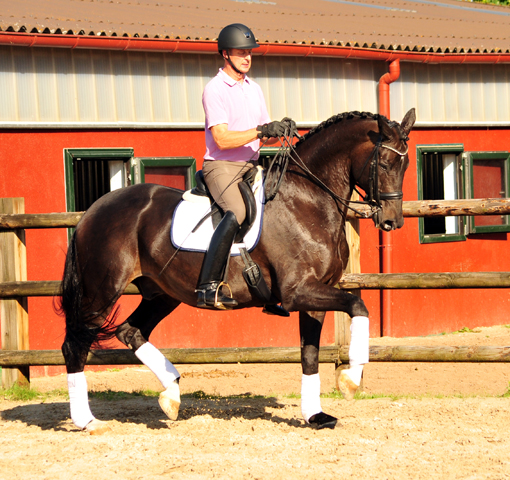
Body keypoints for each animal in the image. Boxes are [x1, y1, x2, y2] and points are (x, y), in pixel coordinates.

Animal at [59, 110, 416, 434]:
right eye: (385, 163)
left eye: (406, 164)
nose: (392, 220)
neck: (308, 200)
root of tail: (93, 210)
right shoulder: (299, 292)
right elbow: (359, 306)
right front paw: (350, 380)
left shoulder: (316, 294)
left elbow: (311, 354)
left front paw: (316, 415)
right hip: (101, 290)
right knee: (75, 345)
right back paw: (88, 421)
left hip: (162, 292)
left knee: (131, 331)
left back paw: (171, 394)